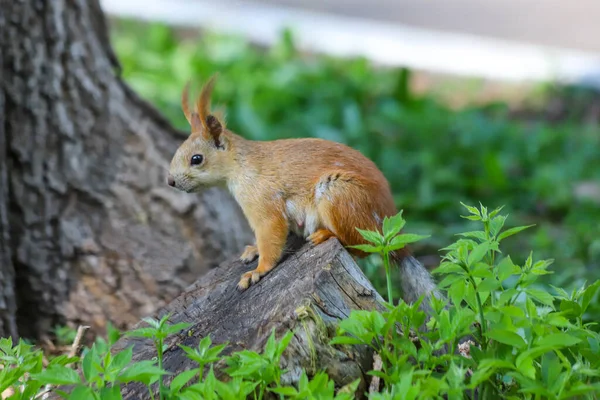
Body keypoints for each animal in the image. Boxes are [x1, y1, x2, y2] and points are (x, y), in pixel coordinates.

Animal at [168, 75, 440, 310]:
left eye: (196, 159)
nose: (170, 181)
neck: (241, 165)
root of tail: (394, 237)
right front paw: (253, 250)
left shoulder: (263, 201)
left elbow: (271, 235)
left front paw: (257, 271)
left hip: (339, 195)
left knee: (362, 247)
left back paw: (325, 235)